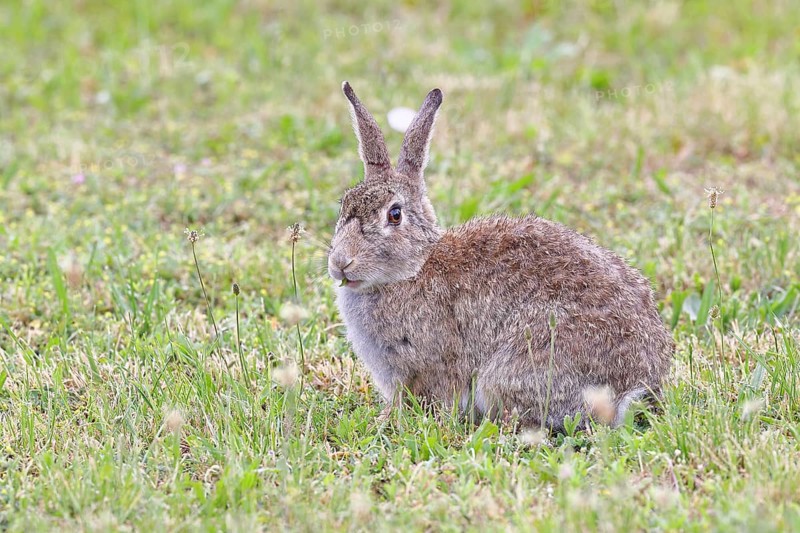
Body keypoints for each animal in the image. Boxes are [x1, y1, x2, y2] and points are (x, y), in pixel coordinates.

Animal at [328, 81, 674, 431]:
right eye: (344, 205)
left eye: (395, 215)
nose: (340, 263)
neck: (414, 268)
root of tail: (634, 385)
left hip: (514, 369)